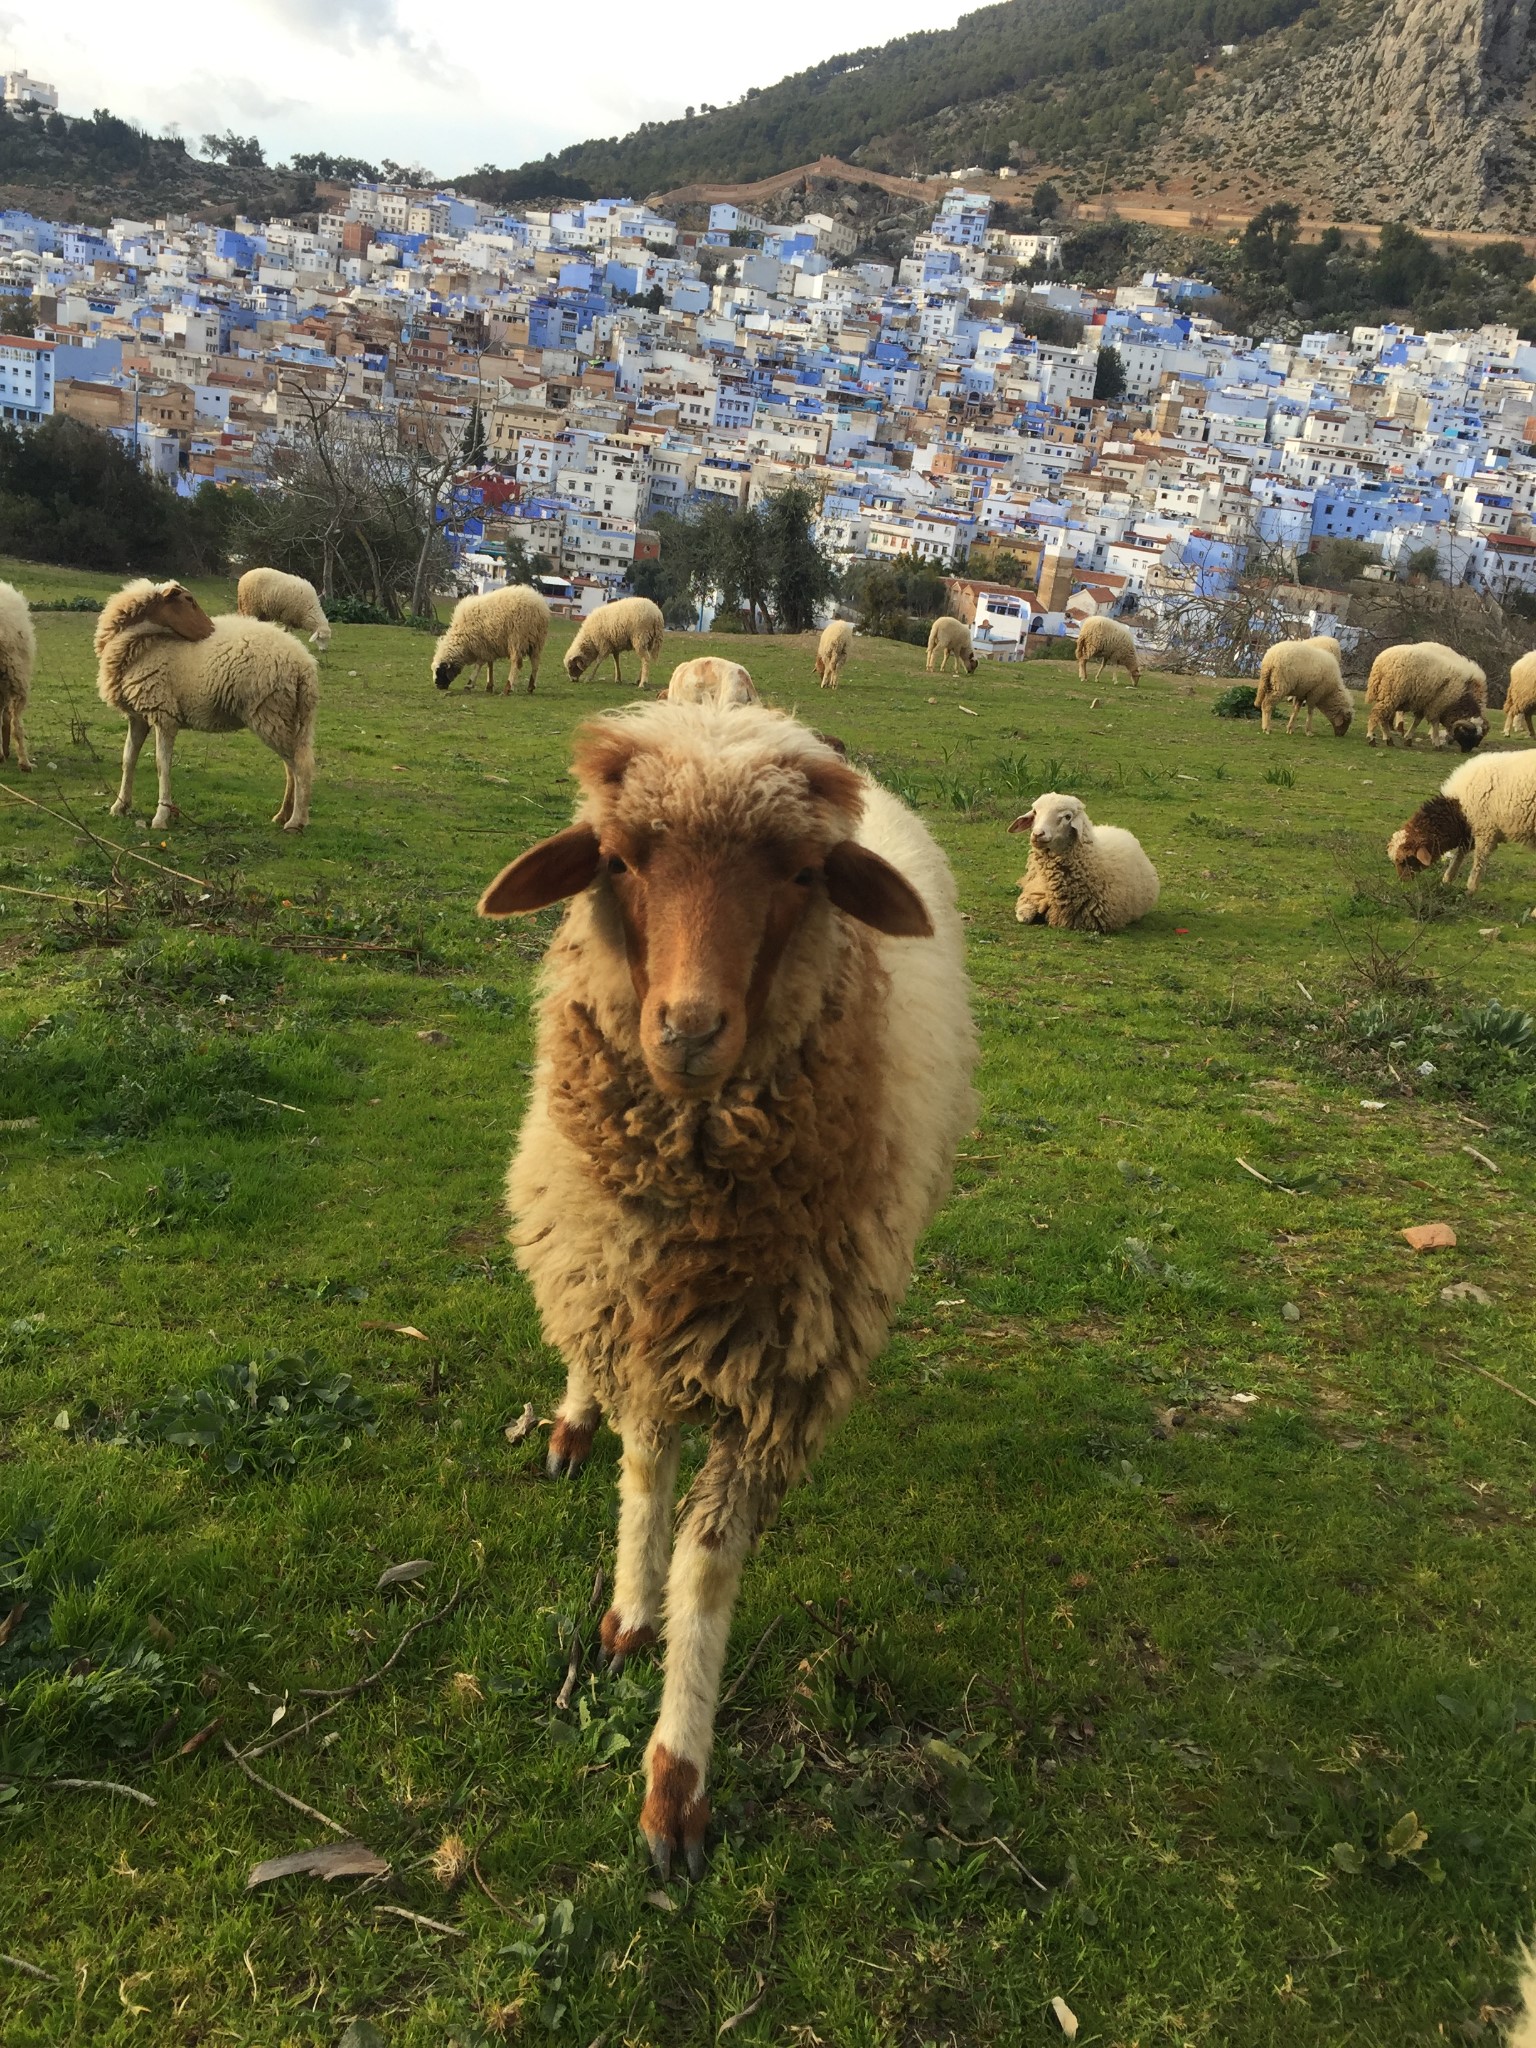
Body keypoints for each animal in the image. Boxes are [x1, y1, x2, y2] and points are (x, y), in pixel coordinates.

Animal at [96, 577, 319, 831]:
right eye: (188, 600)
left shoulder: (163, 713)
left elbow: (162, 766)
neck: (143, 643)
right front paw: (120, 806)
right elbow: (128, 759)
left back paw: (296, 821)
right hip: (286, 716)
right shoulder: (138, 716)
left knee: (300, 765)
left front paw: (161, 817)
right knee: (291, 766)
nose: (212, 629)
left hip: (270, 712)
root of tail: (305, 665)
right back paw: (283, 815)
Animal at [481, 700, 978, 1875]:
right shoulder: (637, 1307)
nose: (691, 1030)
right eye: (619, 860)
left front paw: (677, 1780)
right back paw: (571, 1420)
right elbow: (643, 1466)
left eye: (801, 874)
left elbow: (708, 1573)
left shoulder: (772, 1384)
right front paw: (627, 1611)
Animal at [1392, 745, 1536, 888]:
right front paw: (1447, 880)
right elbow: (1460, 853)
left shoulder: (1485, 831)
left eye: (1405, 860)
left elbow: (1478, 861)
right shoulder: (1470, 831)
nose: (1403, 881)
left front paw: (1470, 889)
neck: (1458, 807)